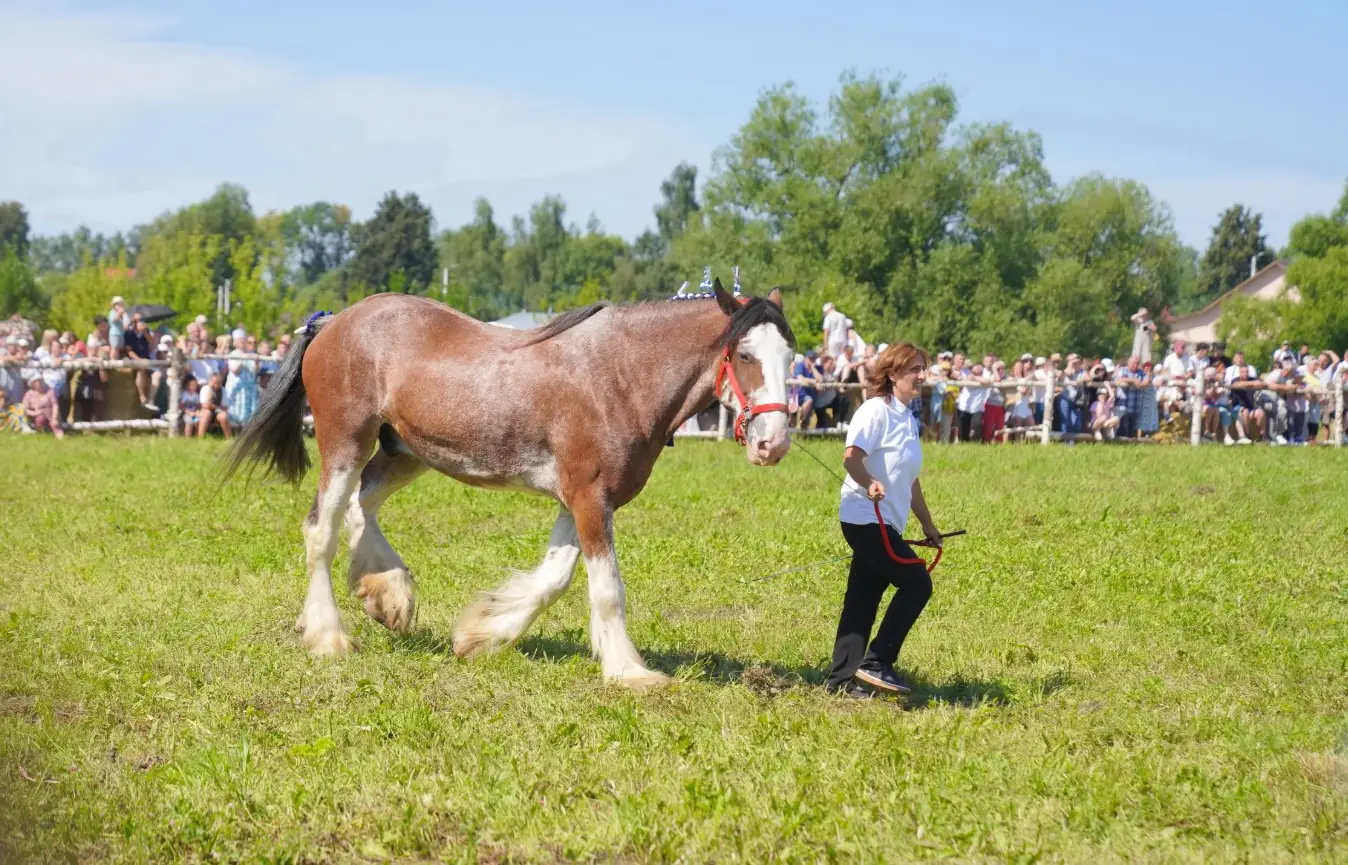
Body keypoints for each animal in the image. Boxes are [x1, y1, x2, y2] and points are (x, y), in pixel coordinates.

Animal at [224, 279, 795, 687]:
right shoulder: (590, 497)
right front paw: (630, 671)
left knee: (362, 506)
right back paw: (329, 636)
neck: (620, 377)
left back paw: (388, 593)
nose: (774, 442)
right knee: (321, 528)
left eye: (791, 356)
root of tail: (331, 324)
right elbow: (607, 589)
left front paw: (481, 635)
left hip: (406, 452)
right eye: (745, 355)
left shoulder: (579, 500)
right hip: (346, 443)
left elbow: (553, 580)